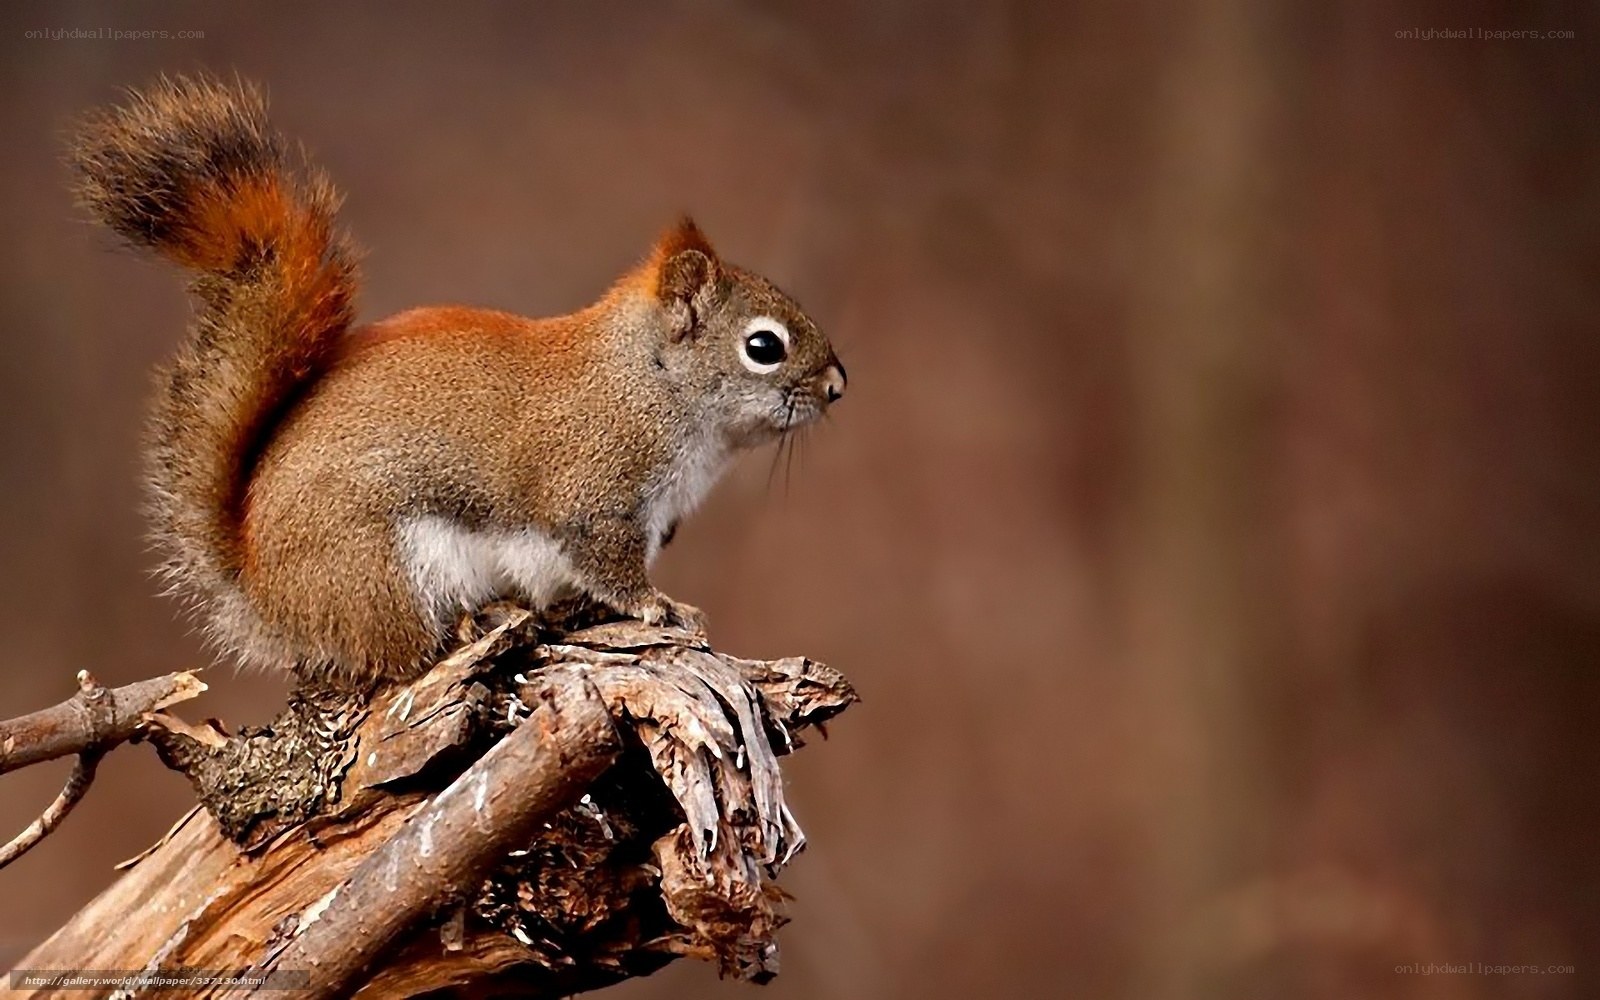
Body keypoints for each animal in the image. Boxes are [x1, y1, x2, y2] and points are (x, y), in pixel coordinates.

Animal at [69, 76, 845, 690]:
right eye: (763, 347)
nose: (838, 385)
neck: (648, 383)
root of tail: (265, 592)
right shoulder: (594, 493)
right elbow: (609, 564)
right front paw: (662, 607)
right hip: (388, 569)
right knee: (405, 651)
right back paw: (476, 621)